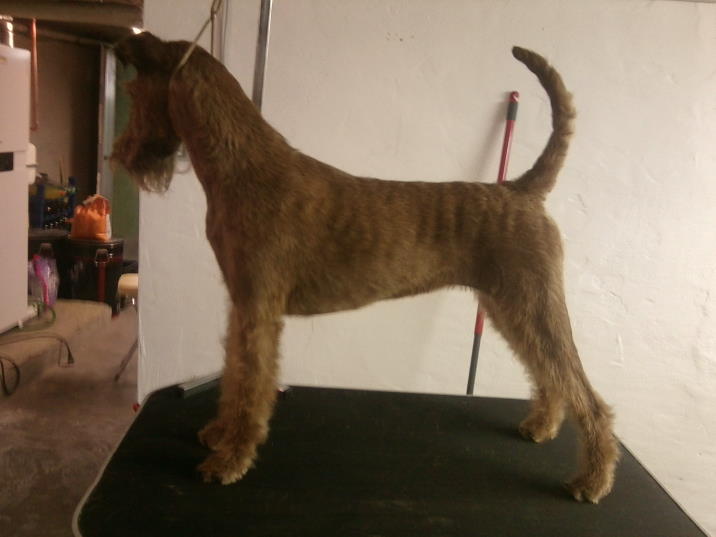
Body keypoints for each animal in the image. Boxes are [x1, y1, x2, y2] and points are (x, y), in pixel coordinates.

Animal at [113, 32, 619, 503]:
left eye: (134, 90)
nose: (120, 155)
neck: (240, 167)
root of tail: (520, 191)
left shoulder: (258, 309)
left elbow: (251, 387)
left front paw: (230, 460)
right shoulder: (242, 306)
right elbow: (234, 375)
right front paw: (220, 435)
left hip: (531, 302)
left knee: (586, 393)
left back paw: (592, 481)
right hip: (509, 307)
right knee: (551, 375)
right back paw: (542, 425)